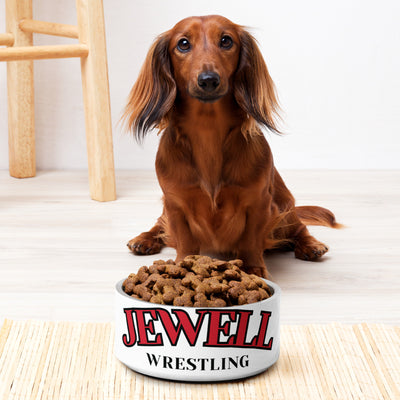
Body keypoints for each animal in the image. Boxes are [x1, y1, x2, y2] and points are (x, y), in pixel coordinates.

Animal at [123, 16, 340, 278]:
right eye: (183, 44)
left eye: (226, 40)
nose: (208, 80)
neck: (207, 131)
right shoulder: (175, 203)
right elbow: (184, 240)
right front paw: (182, 265)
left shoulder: (259, 203)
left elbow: (250, 240)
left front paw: (254, 269)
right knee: (159, 224)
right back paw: (144, 239)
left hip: (284, 206)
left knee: (299, 228)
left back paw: (311, 245)